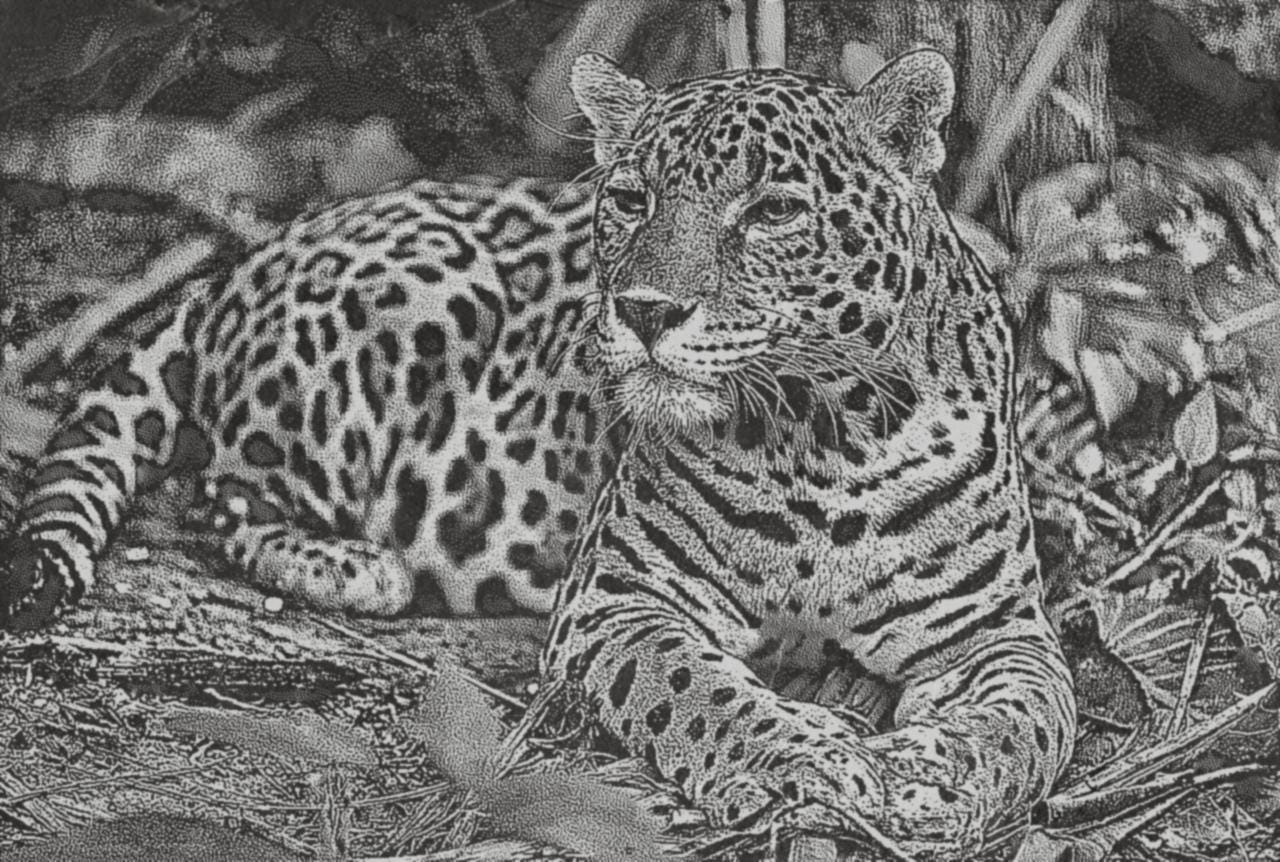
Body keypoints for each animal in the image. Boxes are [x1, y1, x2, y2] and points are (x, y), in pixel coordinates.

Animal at [3, 48, 1076, 859]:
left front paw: (938, 780)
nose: (645, 312)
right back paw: (355, 566)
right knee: (223, 490)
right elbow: (705, 697)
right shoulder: (622, 600)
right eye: (632, 198)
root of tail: (240, 261)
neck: (822, 432)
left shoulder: (998, 630)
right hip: (414, 309)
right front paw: (804, 761)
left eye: (772, 211)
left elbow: (1031, 726)